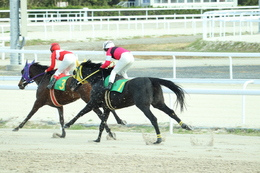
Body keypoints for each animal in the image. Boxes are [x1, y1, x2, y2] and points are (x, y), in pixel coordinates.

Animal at [64, 60, 192, 144]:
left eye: (74, 72)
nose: (71, 85)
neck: (99, 80)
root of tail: (151, 79)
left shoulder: (93, 102)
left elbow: (81, 112)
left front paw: (67, 124)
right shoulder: (106, 107)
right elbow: (102, 123)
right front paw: (98, 139)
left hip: (143, 106)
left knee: (154, 119)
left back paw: (158, 139)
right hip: (158, 103)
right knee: (171, 112)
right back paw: (185, 126)